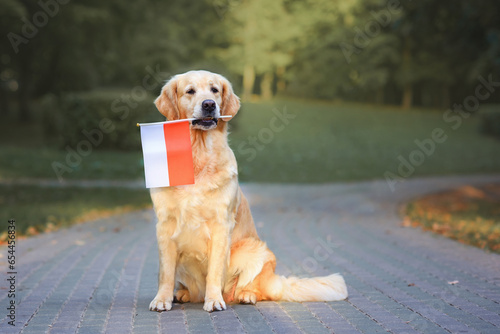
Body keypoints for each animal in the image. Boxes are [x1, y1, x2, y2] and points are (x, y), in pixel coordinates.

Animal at [146, 70, 346, 314]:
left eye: (214, 90)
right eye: (190, 91)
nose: (209, 104)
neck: (198, 155)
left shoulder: (221, 225)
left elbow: (215, 270)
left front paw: (214, 300)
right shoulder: (165, 224)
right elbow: (165, 271)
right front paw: (161, 299)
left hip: (256, 251)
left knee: (256, 289)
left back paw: (245, 295)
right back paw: (182, 294)